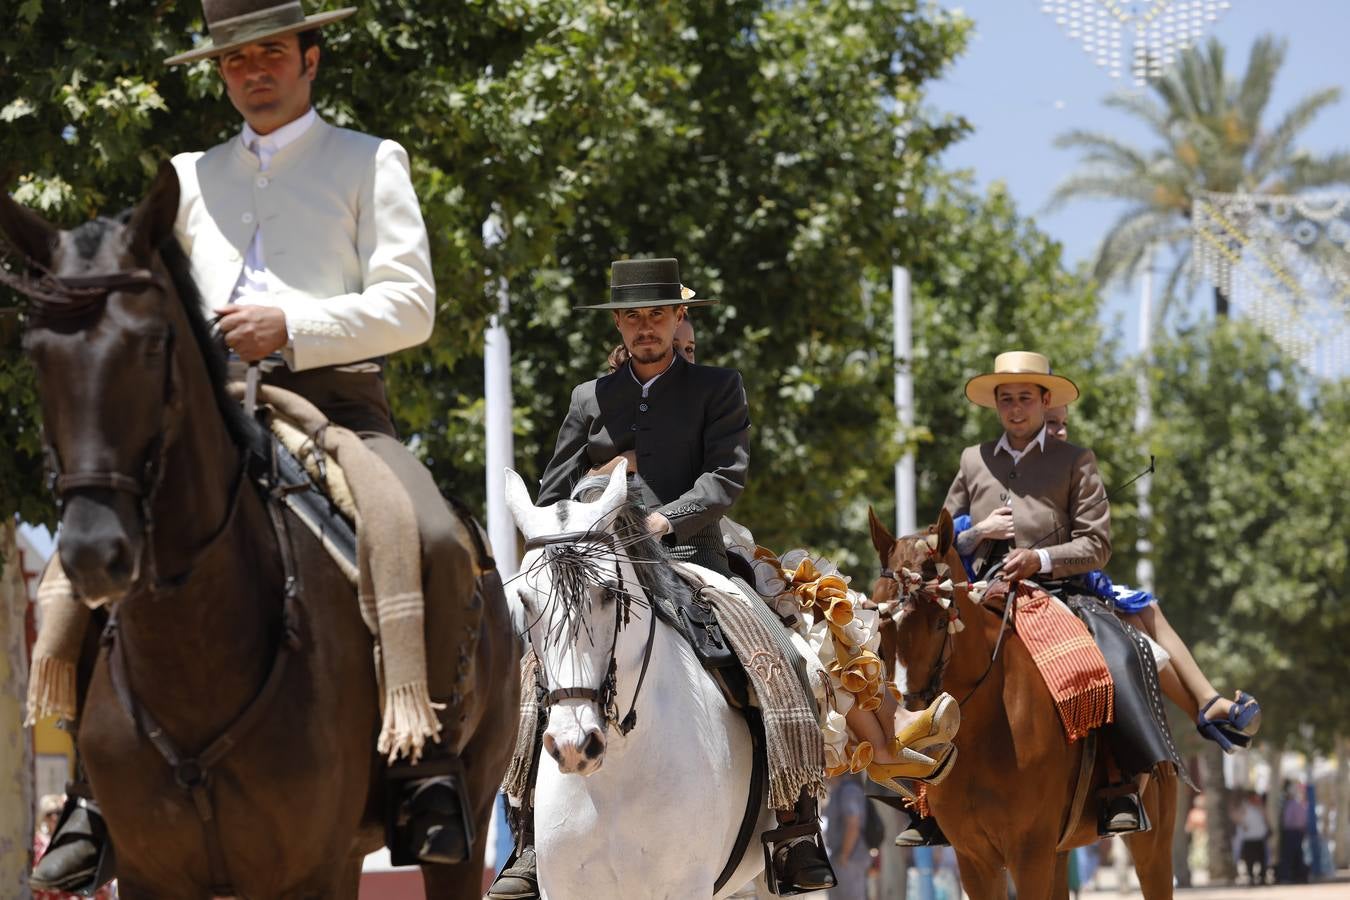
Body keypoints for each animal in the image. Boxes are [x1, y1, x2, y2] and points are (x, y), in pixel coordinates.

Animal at [1, 165, 521, 895]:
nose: (93, 551)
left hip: (467, 815)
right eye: (35, 352)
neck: (192, 647)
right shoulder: (148, 873)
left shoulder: (308, 868)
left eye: (153, 341)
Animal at [869, 507, 1177, 900]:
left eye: (940, 621)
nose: (913, 714)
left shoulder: (1028, 850)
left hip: (1153, 842)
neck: (983, 730)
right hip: (1058, 853)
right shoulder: (974, 858)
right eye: (881, 624)